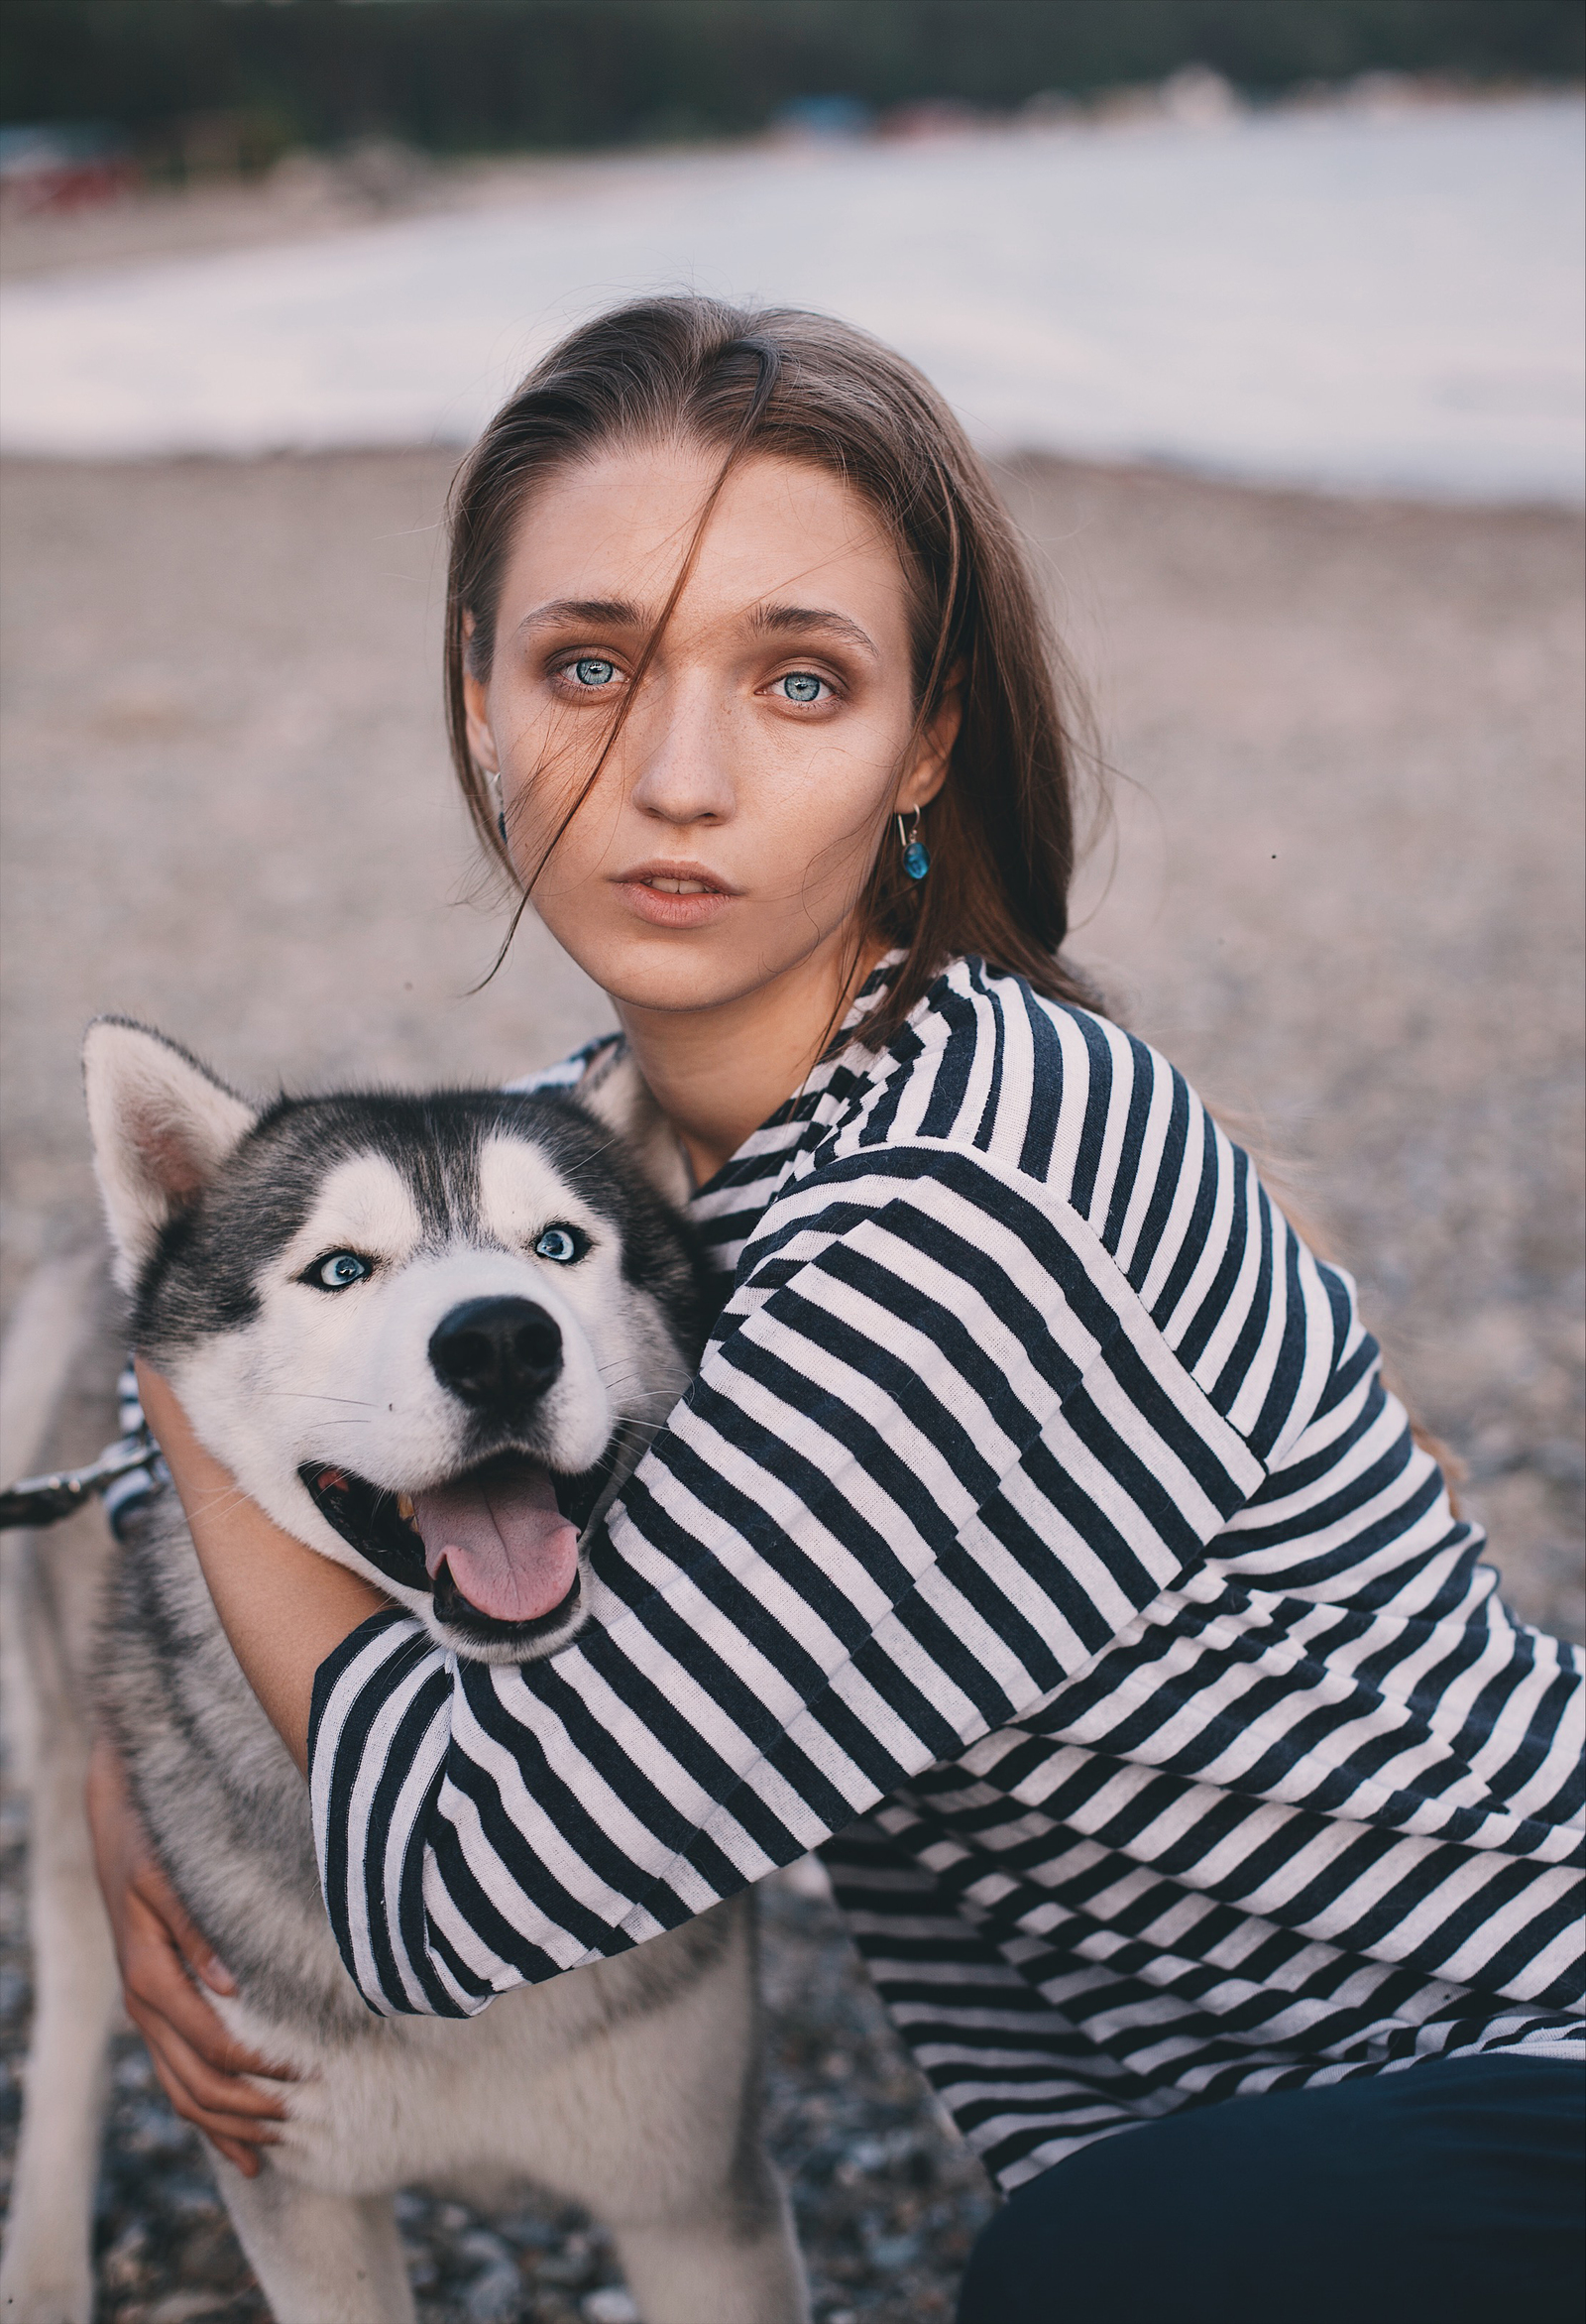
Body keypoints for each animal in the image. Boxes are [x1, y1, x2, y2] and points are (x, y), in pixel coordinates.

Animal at [0, 1027, 812, 2324]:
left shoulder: (691, 2197)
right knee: (75, 1990)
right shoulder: (302, 2191)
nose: (501, 1342)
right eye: (340, 1269)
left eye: (559, 1245)